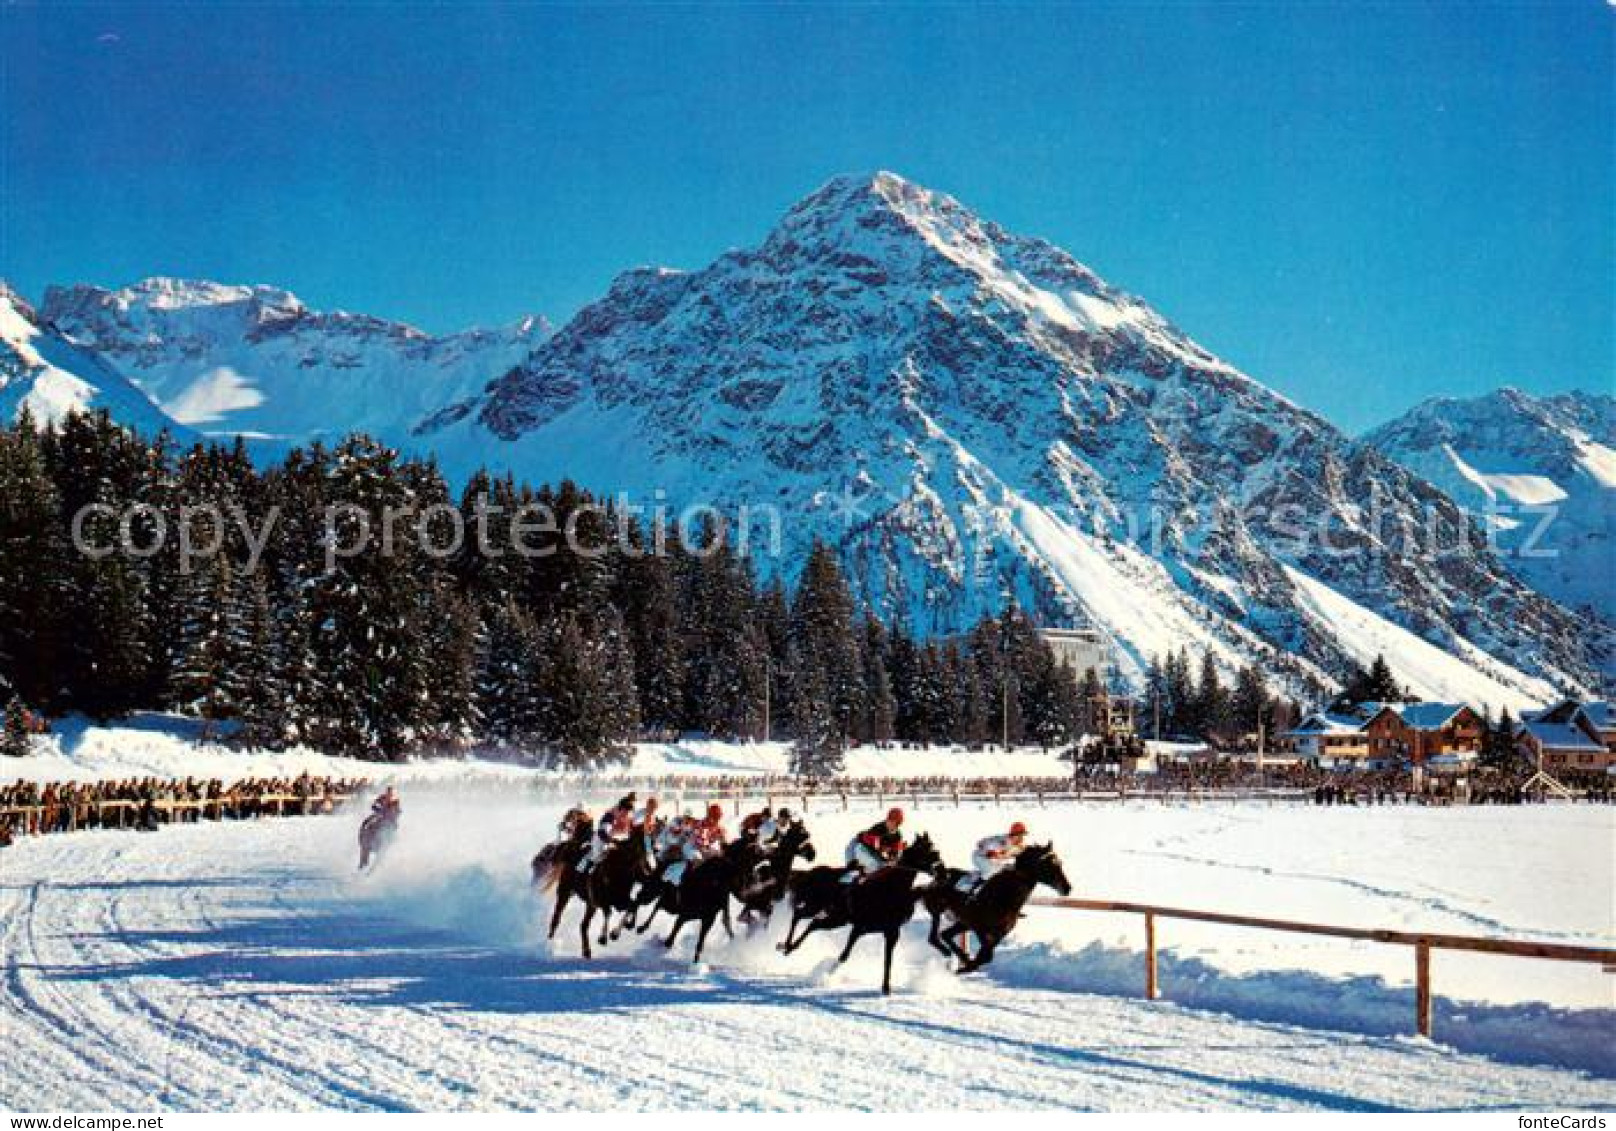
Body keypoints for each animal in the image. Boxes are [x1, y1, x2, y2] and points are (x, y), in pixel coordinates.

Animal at [775, 833, 943, 995]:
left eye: (936, 851)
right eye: (931, 853)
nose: (942, 870)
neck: (891, 890)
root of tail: (817, 871)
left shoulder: (891, 931)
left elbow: (887, 960)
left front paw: (886, 988)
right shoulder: (859, 927)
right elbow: (844, 955)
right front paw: (827, 974)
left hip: (837, 918)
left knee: (813, 924)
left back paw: (789, 946)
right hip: (815, 906)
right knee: (798, 915)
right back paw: (787, 946)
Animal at [930, 840, 1066, 969]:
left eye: (1060, 862)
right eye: (1049, 864)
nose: (1067, 887)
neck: (1005, 897)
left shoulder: (999, 933)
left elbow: (986, 957)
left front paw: (967, 964)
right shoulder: (979, 927)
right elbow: (985, 956)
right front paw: (966, 965)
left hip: (963, 923)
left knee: (945, 934)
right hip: (940, 909)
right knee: (935, 935)